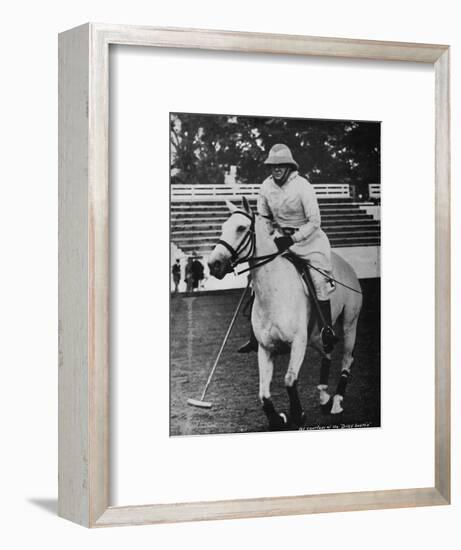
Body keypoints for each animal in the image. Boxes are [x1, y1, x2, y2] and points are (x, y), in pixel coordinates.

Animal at [208, 198, 362, 432]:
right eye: (223, 227)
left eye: (241, 228)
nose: (213, 264)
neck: (274, 292)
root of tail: (347, 266)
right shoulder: (265, 348)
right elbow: (263, 394)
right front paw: (277, 419)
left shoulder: (298, 342)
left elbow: (289, 380)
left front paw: (298, 415)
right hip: (315, 336)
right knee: (327, 353)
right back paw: (324, 397)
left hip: (349, 324)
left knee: (347, 358)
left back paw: (336, 401)